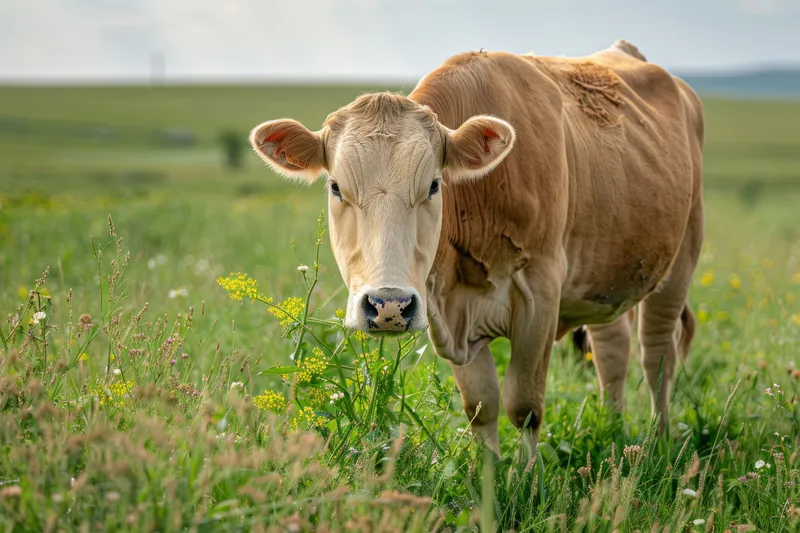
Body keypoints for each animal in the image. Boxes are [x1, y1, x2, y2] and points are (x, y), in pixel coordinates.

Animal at [249, 40, 704, 455]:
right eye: (336, 187)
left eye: (434, 185)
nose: (389, 306)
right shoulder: (447, 311)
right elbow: (481, 406)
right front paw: (489, 477)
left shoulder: (540, 295)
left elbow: (524, 405)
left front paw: (529, 481)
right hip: (604, 275)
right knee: (613, 352)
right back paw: (614, 430)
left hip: (679, 263)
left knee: (657, 357)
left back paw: (660, 443)